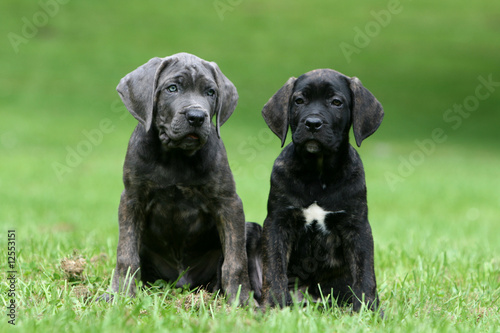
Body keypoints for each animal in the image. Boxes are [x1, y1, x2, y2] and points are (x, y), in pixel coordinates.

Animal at [110, 52, 262, 304]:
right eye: (172, 88)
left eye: (210, 92)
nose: (197, 116)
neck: (176, 157)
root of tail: (182, 282)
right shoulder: (132, 199)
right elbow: (126, 254)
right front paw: (120, 295)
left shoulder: (229, 203)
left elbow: (235, 260)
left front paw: (240, 300)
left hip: (251, 230)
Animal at [262, 68, 382, 312]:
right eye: (299, 101)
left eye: (336, 102)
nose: (312, 123)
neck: (318, 172)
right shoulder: (277, 223)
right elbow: (274, 267)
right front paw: (277, 304)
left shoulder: (357, 227)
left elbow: (365, 271)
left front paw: (368, 309)